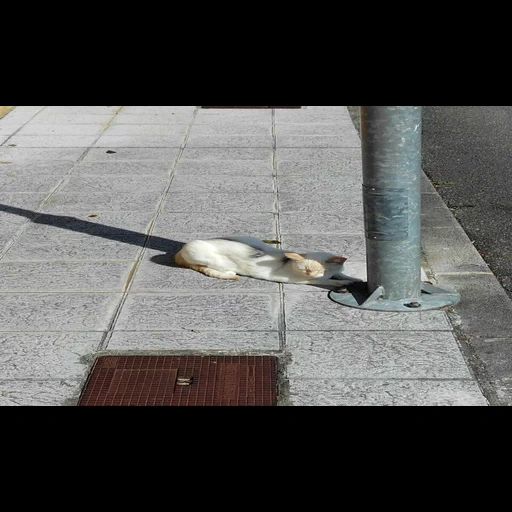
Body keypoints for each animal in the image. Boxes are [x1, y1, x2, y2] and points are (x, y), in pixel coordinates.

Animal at [173, 236, 360, 288]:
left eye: (319, 270)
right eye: (304, 269)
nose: (310, 274)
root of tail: (180, 250)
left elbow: (342, 274)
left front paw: (354, 279)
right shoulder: (302, 280)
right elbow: (326, 282)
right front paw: (343, 283)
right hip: (206, 256)